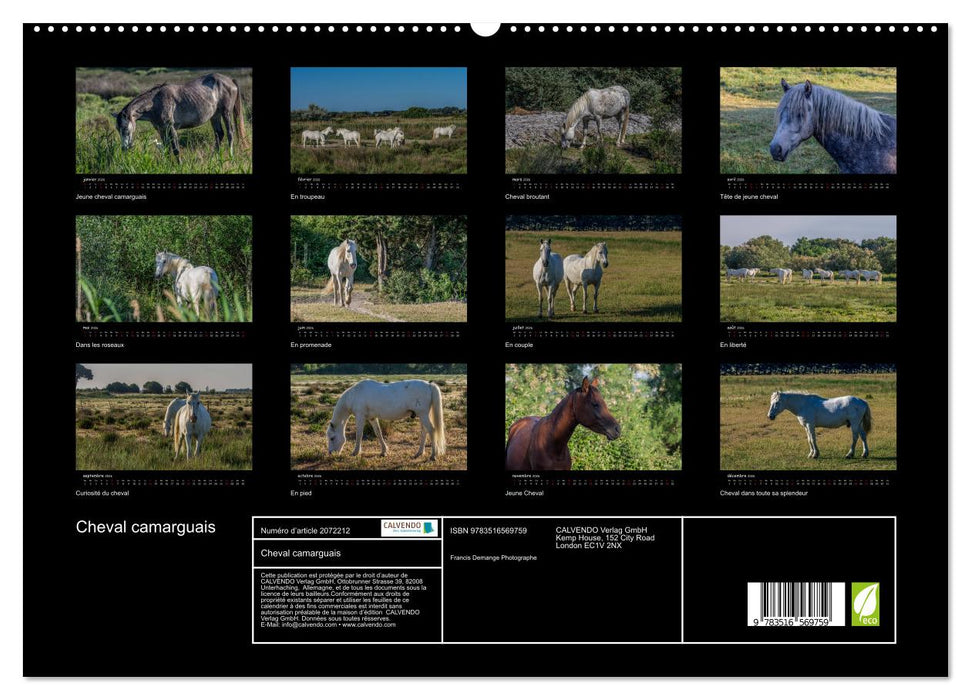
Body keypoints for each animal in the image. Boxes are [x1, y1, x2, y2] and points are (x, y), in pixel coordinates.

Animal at [111, 73, 247, 160]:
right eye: (117, 129)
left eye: (125, 128)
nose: (124, 148)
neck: (156, 102)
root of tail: (230, 80)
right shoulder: (161, 130)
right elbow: (166, 149)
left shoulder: (171, 128)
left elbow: (176, 149)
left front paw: (178, 165)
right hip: (215, 116)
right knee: (219, 134)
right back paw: (214, 158)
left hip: (226, 113)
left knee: (230, 133)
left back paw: (231, 156)